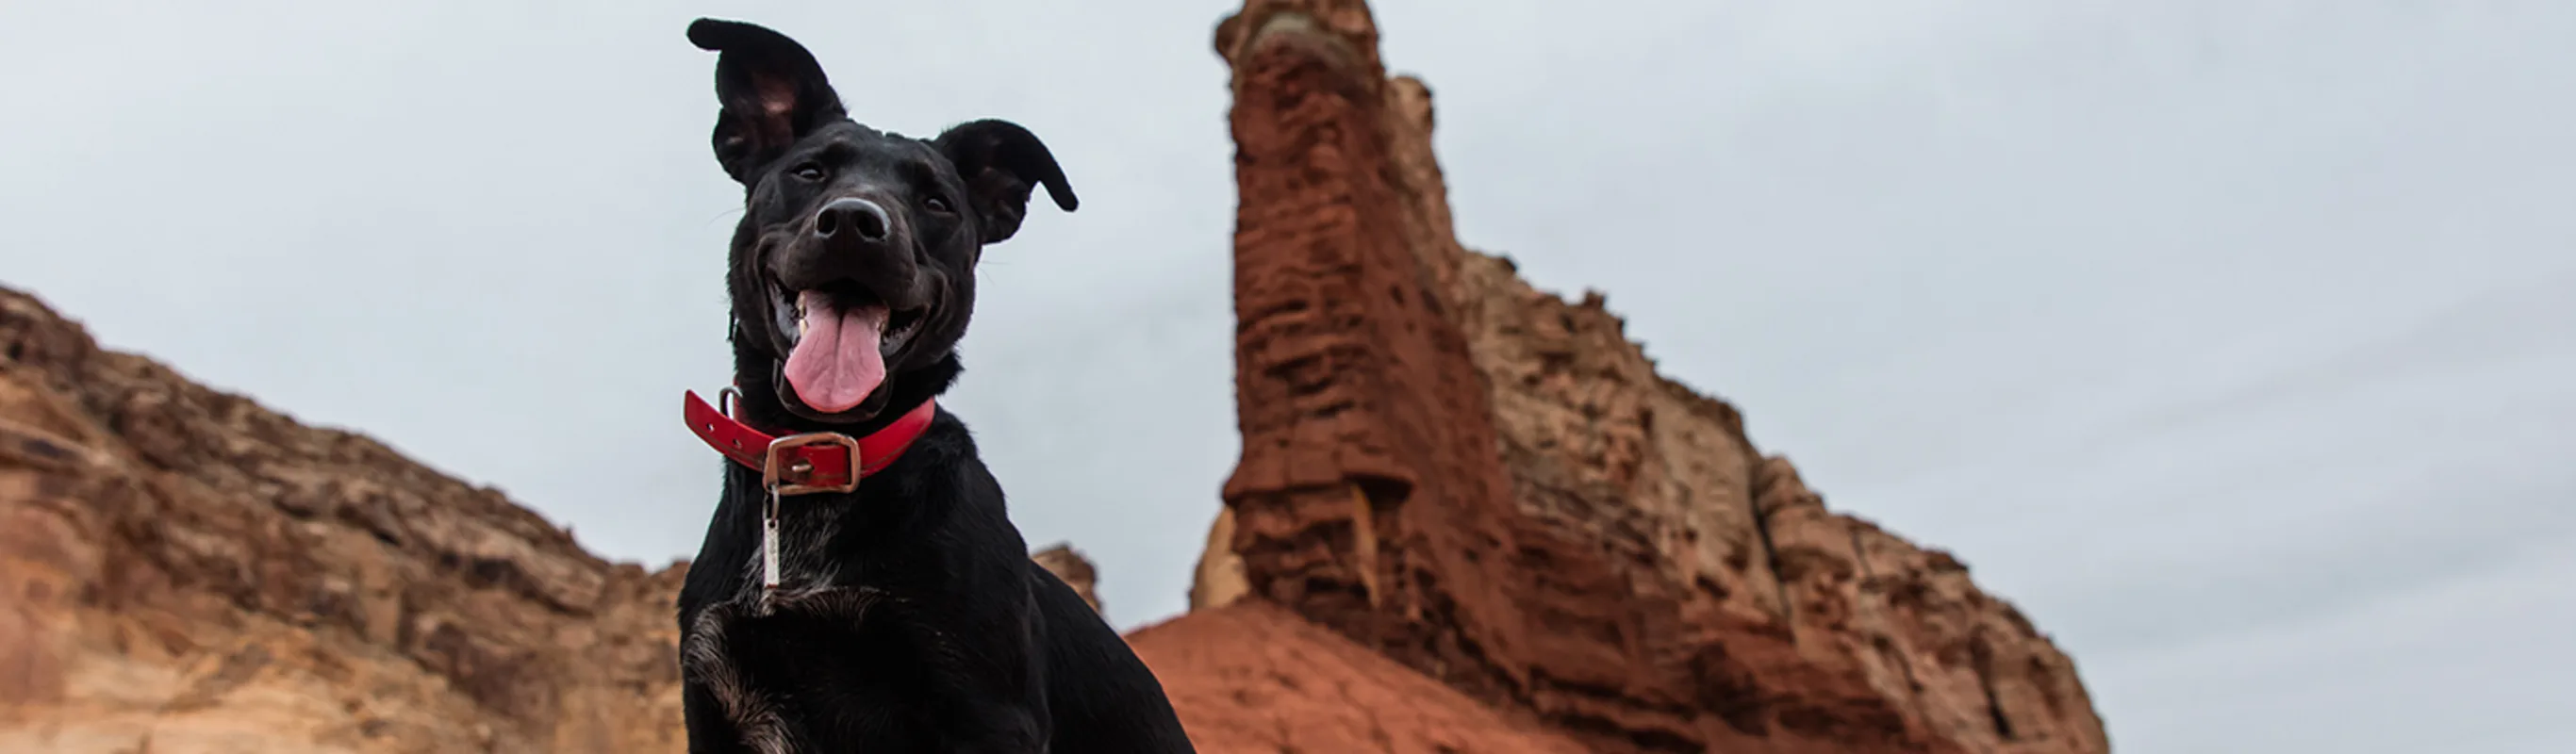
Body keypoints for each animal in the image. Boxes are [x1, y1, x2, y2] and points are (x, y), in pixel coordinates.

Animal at [664, 17, 1184, 751]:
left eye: (936, 202)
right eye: (809, 171)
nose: (856, 224)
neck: (821, 460)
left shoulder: (987, 713)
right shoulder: (715, 705)